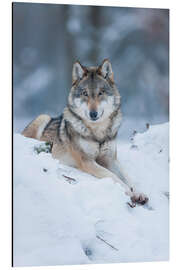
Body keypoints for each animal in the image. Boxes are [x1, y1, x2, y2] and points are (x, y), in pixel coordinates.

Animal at [21, 59, 148, 205]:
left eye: (100, 93)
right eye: (85, 93)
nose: (93, 114)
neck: (98, 133)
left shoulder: (110, 159)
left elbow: (128, 177)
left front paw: (139, 192)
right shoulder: (87, 161)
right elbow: (113, 177)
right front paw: (128, 192)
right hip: (43, 117)